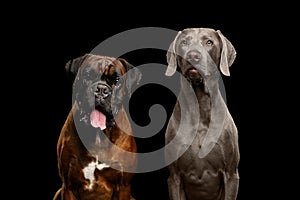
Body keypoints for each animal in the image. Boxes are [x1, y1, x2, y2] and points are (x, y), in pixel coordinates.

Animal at [52, 53, 141, 200]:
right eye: (88, 76)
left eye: (117, 80)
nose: (101, 90)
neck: (99, 135)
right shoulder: (69, 186)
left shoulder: (123, 186)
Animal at [164, 28, 239, 200]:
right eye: (184, 42)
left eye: (209, 42)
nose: (193, 55)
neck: (201, 106)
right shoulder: (174, 176)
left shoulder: (231, 174)